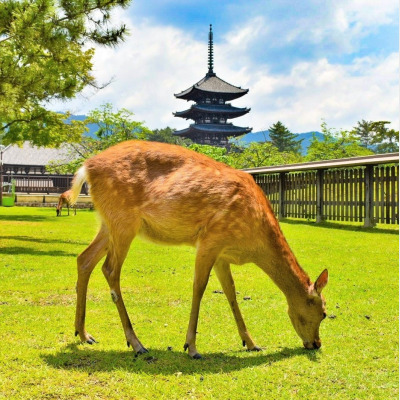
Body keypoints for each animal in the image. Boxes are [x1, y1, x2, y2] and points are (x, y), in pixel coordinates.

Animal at [69, 141, 328, 360]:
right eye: (324, 312)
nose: (316, 343)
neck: (253, 245)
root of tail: (85, 167)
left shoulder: (223, 254)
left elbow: (231, 292)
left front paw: (251, 343)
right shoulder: (210, 239)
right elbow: (199, 288)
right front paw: (191, 347)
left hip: (108, 223)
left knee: (84, 259)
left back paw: (84, 334)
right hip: (123, 221)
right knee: (110, 269)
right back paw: (136, 343)